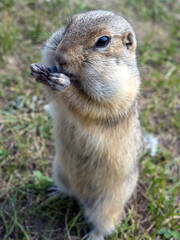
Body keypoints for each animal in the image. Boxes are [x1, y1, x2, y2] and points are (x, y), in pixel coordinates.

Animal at [30, 10, 157, 240]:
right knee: (68, 192)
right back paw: (54, 193)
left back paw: (94, 235)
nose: (59, 57)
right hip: (60, 172)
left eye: (103, 41)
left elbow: (90, 105)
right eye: (69, 25)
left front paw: (63, 84)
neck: (79, 79)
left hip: (107, 206)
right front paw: (38, 70)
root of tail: (82, 198)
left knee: (106, 224)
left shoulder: (118, 92)